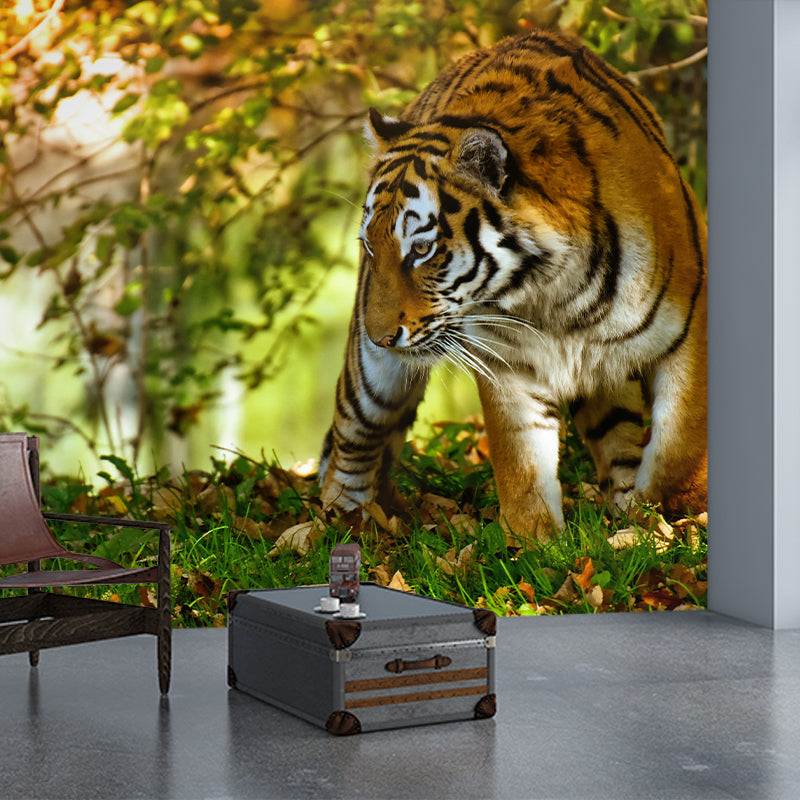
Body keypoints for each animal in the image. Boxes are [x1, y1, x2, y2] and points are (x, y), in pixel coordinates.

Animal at [318, 28, 707, 544]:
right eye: (369, 245)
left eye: (420, 249)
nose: (381, 335)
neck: (555, 294)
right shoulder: (507, 363)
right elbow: (521, 464)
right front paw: (537, 546)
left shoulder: (691, 324)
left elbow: (680, 444)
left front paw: (661, 519)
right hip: (371, 379)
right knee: (351, 440)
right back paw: (342, 524)